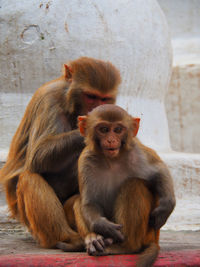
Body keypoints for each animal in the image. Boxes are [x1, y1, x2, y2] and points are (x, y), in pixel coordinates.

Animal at [0, 57, 120, 250]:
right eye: (91, 96)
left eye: (104, 98)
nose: (97, 109)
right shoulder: (49, 101)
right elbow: (37, 156)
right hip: (28, 220)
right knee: (29, 178)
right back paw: (69, 239)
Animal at [62, 104, 175, 266]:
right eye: (103, 129)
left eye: (117, 130)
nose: (111, 140)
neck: (112, 160)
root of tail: (155, 240)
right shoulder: (85, 161)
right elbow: (90, 203)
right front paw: (102, 226)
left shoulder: (137, 151)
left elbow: (159, 171)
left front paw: (166, 205)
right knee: (79, 201)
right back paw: (94, 239)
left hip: (148, 234)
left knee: (133, 184)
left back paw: (126, 246)